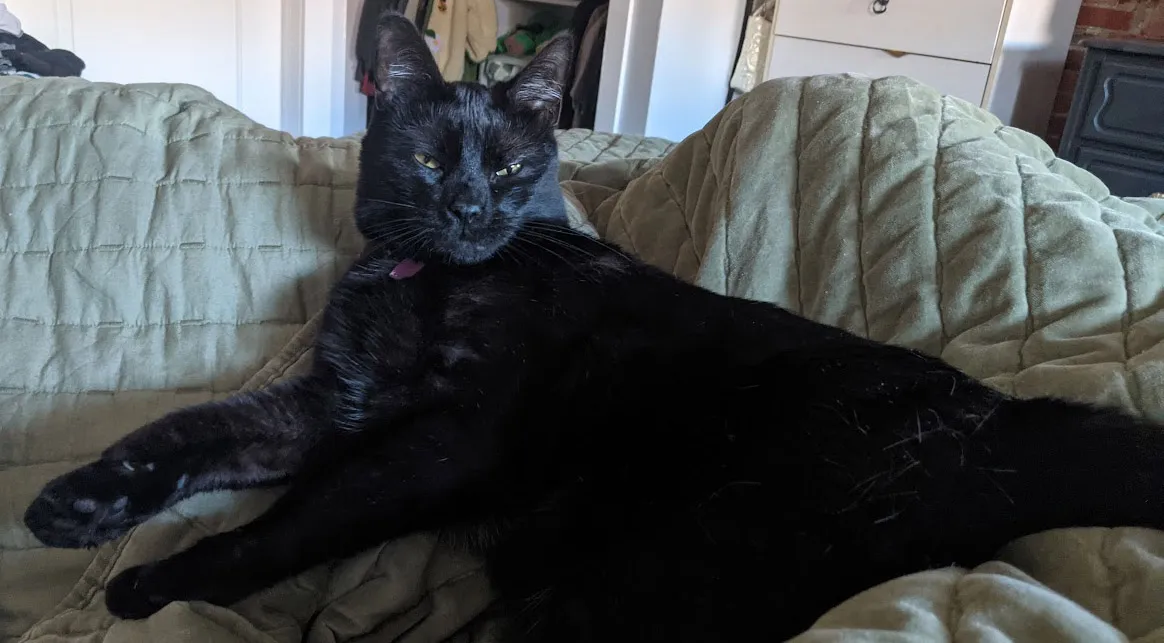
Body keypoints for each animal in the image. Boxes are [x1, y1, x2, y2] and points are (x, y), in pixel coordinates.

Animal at [22, 12, 1164, 638]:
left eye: (510, 167)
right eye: (428, 160)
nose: (468, 209)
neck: (422, 281)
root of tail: (1001, 420)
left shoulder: (440, 440)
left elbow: (294, 521)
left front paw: (164, 581)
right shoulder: (323, 405)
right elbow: (185, 432)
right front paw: (78, 505)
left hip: (652, 562)